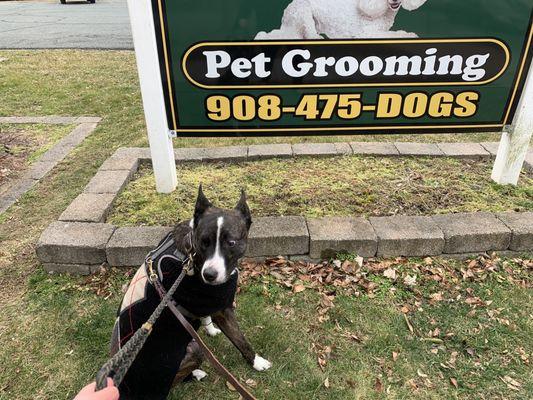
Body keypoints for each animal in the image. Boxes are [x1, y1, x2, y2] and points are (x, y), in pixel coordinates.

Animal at [110, 188, 272, 400]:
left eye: (231, 242)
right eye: (203, 242)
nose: (209, 275)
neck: (190, 254)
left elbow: (205, 317)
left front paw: (210, 329)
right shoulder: (222, 309)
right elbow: (240, 339)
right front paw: (257, 361)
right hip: (192, 350)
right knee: (174, 381)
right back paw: (195, 374)